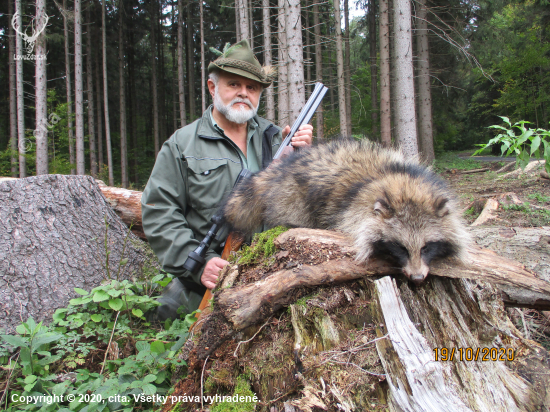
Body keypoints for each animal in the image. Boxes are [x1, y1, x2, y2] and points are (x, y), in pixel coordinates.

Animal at [222, 138, 472, 284]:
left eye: (426, 247)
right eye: (400, 247)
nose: (418, 278)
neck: (399, 179)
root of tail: (278, 170)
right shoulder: (352, 210)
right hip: (290, 198)